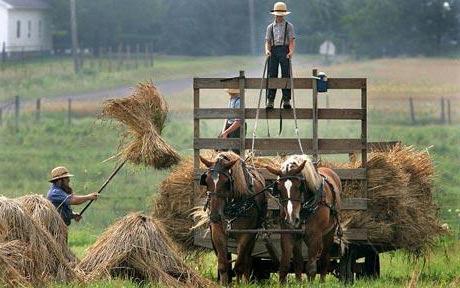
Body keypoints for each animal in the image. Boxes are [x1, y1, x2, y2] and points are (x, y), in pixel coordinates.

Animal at [199, 152, 268, 284]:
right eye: (207, 181)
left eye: (226, 182)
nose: (214, 215)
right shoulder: (217, 232)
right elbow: (223, 265)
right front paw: (224, 283)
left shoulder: (246, 234)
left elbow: (239, 265)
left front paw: (241, 284)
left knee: (247, 259)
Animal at [266, 155, 342, 284]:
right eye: (279, 189)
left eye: (299, 186)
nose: (292, 219)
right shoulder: (288, 233)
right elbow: (285, 264)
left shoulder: (314, 235)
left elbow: (311, 267)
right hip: (299, 236)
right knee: (299, 261)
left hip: (329, 233)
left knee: (324, 259)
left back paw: (322, 281)